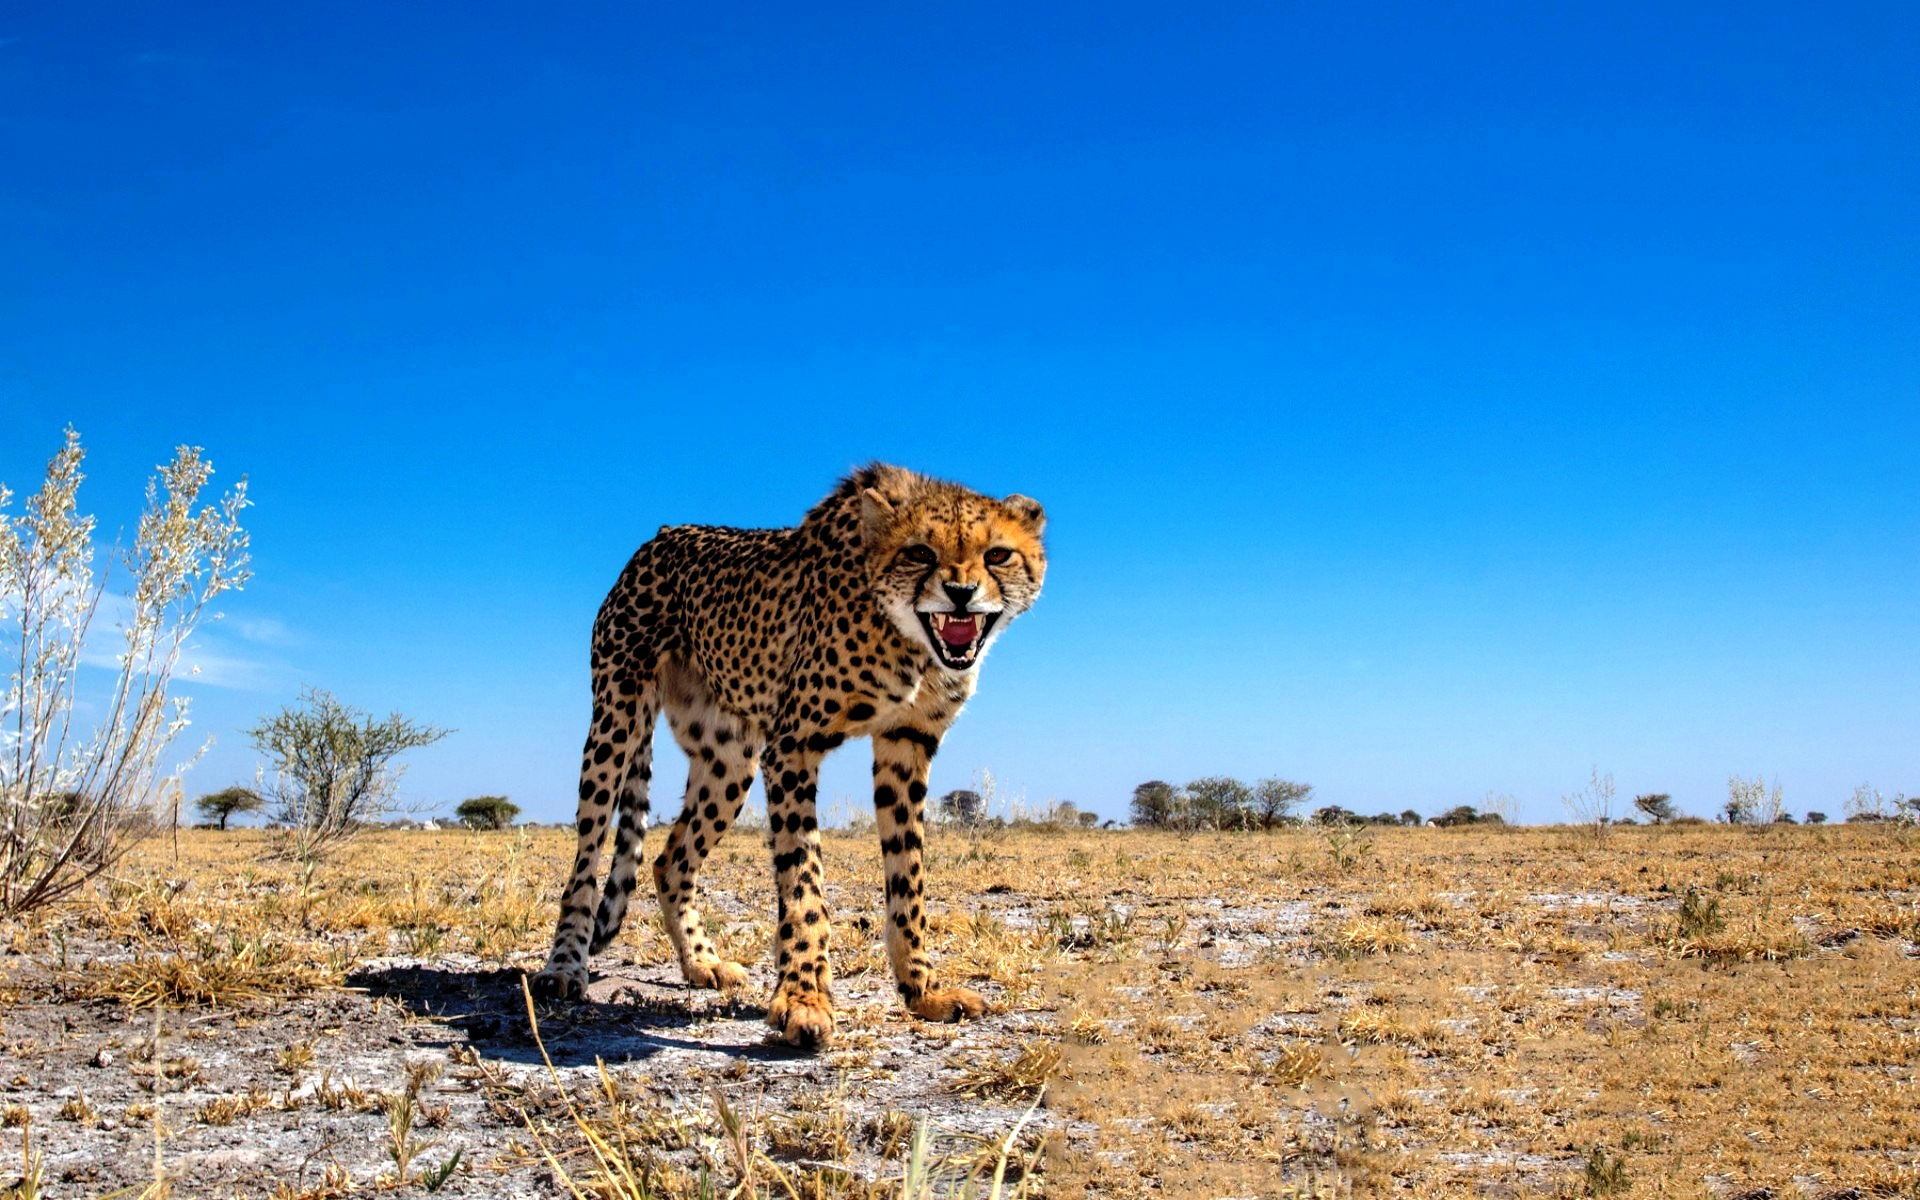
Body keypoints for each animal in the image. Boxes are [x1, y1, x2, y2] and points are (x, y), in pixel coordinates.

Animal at [529, 463, 1047, 1048]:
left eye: (997, 554)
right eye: (920, 552)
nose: (960, 593)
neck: (906, 636)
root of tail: (660, 536)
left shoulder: (907, 742)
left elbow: (908, 879)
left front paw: (924, 991)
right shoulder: (794, 745)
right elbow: (805, 885)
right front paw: (804, 1001)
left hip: (731, 761)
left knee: (670, 859)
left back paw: (702, 962)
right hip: (617, 720)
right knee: (587, 860)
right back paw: (563, 968)